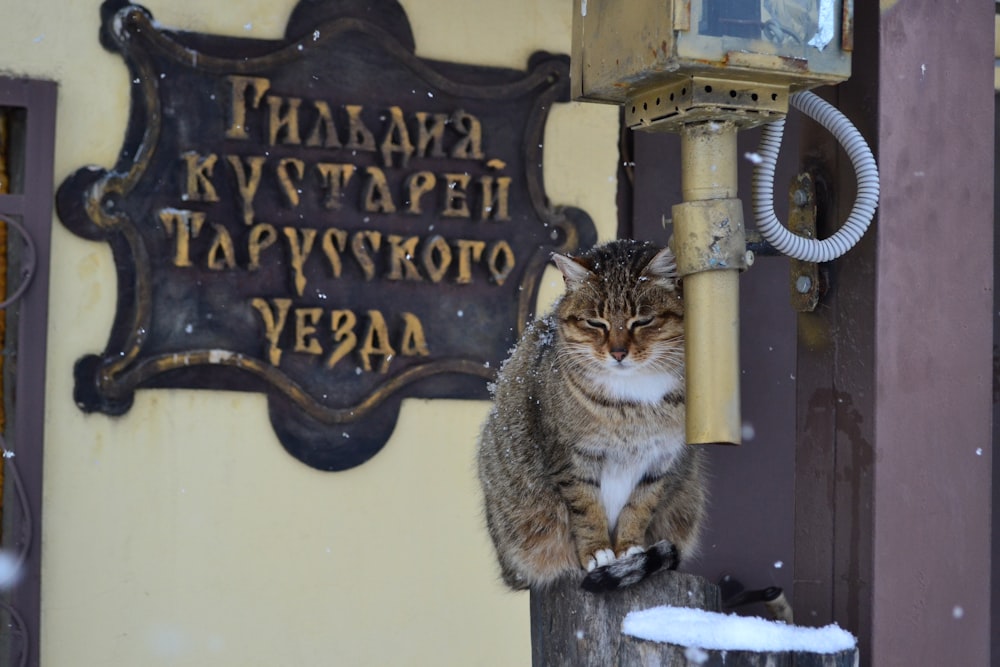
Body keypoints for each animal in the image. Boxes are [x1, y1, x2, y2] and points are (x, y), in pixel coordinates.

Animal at [474, 237, 704, 592]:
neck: (634, 404)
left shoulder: (660, 461)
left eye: (642, 320)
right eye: (596, 322)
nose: (618, 352)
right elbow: (586, 509)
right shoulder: (571, 459)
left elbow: (639, 507)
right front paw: (597, 553)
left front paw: (629, 550)